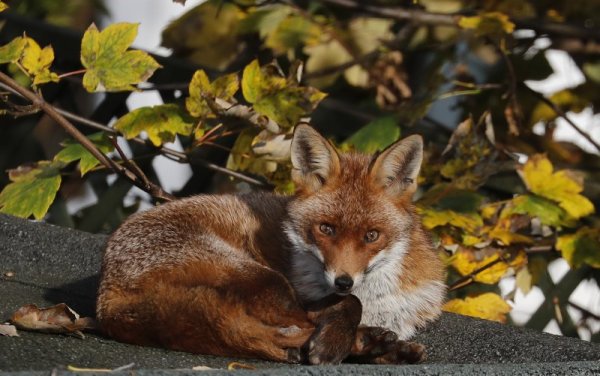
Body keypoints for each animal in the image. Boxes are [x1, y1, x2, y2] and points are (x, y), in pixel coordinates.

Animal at [96, 123, 446, 364]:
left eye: (372, 235)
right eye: (326, 229)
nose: (343, 281)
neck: (377, 300)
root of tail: (106, 297)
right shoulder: (309, 294)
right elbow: (347, 305)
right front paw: (336, 342)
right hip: (262, 277)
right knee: (289, 326)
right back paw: (362, 344)